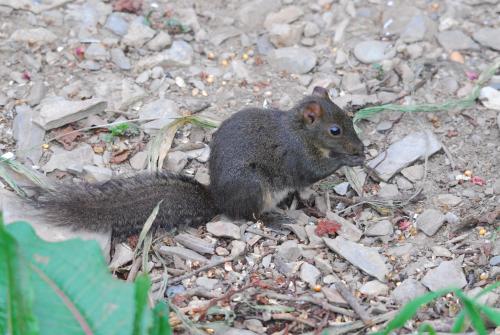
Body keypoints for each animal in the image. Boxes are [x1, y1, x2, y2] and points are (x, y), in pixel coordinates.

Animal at [33, 86, 366, 239]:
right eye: (334, 130)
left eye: (349, 118)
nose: (360, 147)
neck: (299, 131)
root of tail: (217, 199)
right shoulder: (297, 156)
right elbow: (313, 172)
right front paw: (351, 159)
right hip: (254, 187)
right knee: (250, 215)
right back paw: (276, 219)